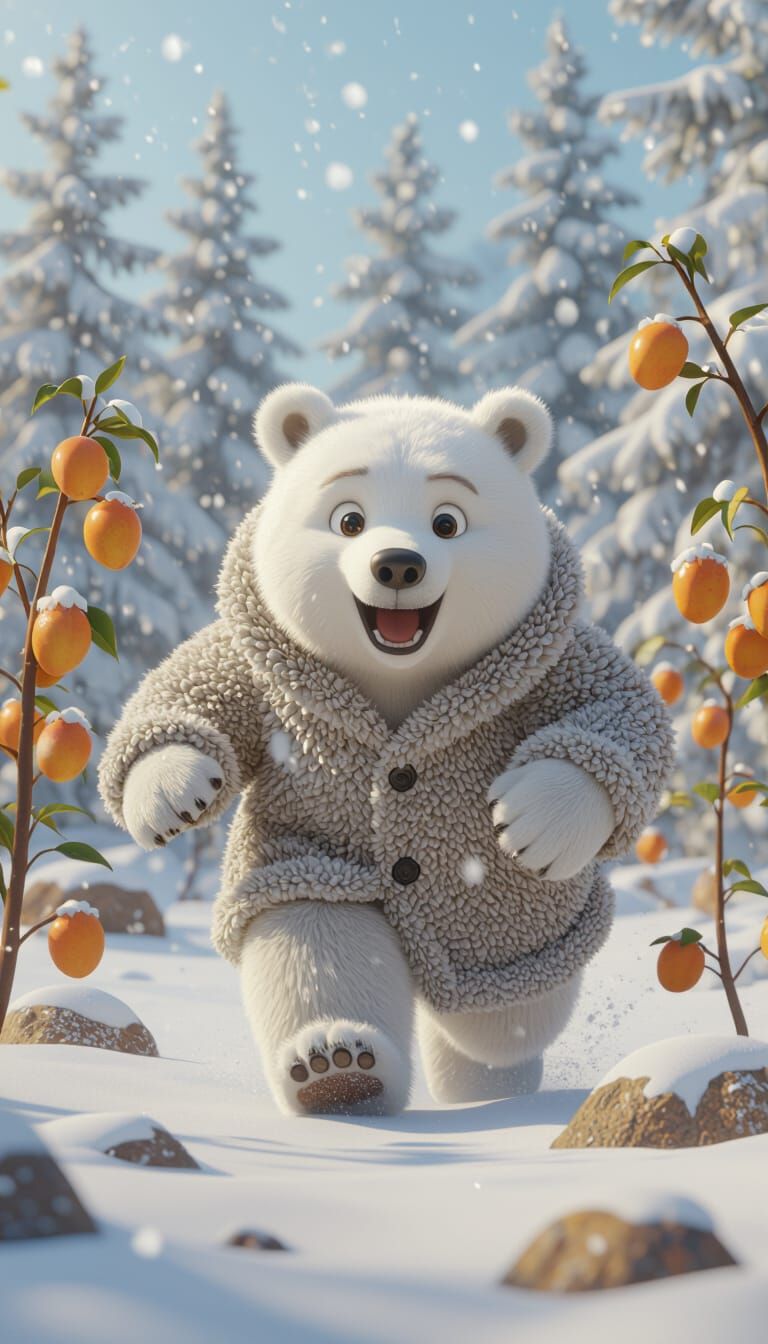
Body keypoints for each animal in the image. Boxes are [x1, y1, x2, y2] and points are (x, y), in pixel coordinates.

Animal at [99, 383, 674, 1116]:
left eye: (448, 521)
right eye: (349, 519)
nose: (397, 564)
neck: (398, 677)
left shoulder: (541, 657)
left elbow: (616, 712)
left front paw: (535, 819)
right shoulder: (273, 674)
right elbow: (196, 688)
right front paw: (175, 788)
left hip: (515, 935)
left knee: (505, 1017)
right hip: (321, 861)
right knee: (317, 936)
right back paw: (336, 1065)